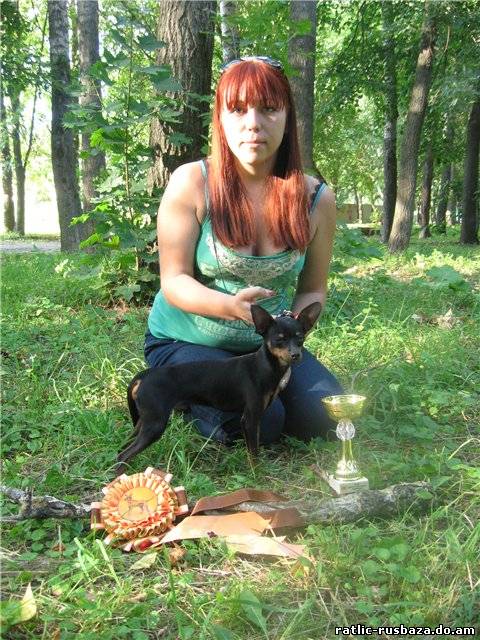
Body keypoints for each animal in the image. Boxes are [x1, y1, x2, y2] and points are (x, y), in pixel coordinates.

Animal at [117, 302, 322, 474]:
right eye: (279, 340)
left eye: (300, 338)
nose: (295, 355)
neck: (265, 366)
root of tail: (144, 375)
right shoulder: (250, 418)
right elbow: (253, 453)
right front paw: (258, 475)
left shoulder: (255, 418)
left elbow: (254, 446)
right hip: (155, 424)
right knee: (123, 455)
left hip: (145, 420)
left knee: (123, 448)